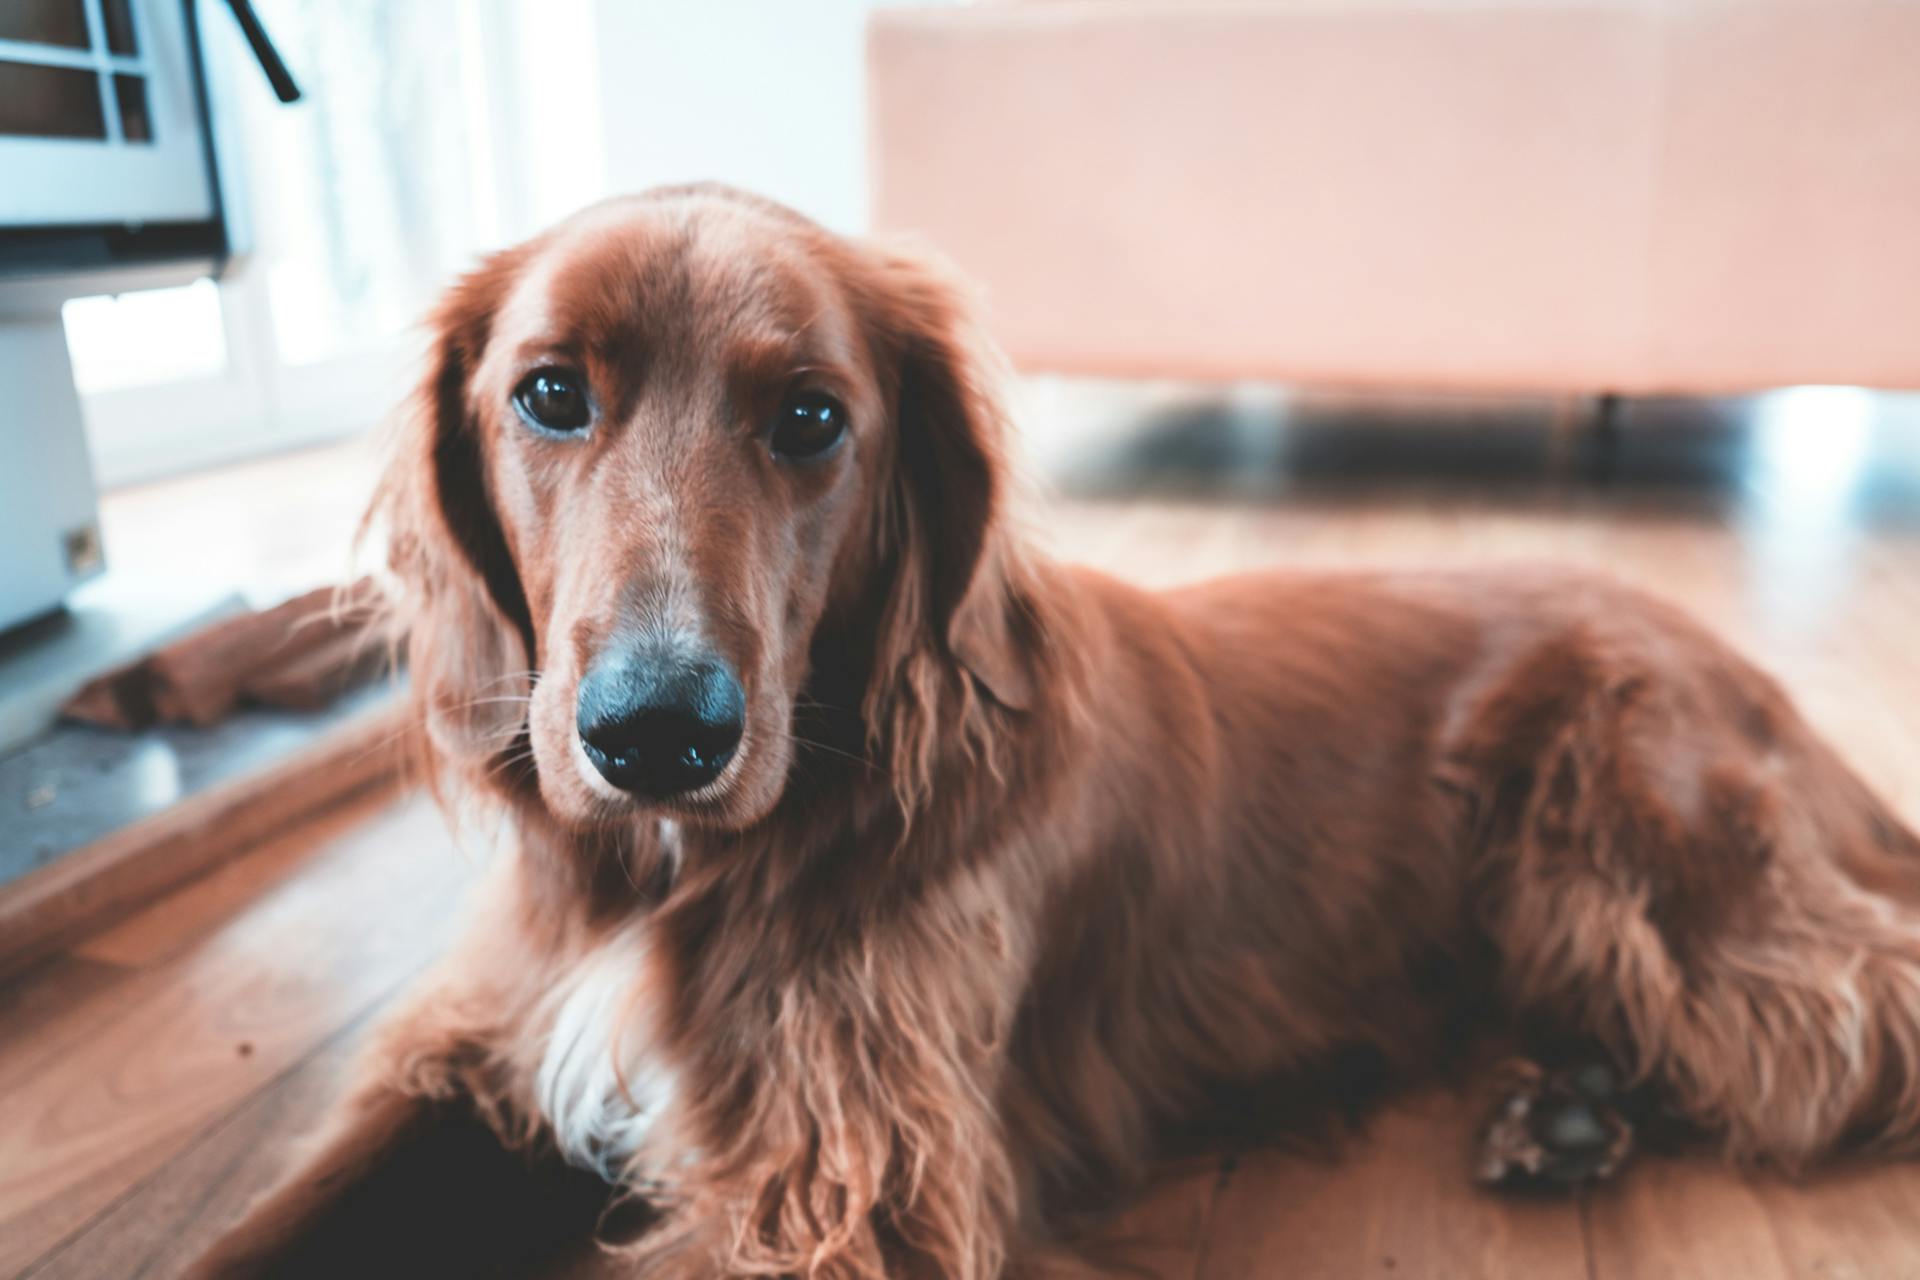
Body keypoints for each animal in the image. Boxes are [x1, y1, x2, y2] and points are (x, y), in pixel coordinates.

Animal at [183, 182, 1920, 1280]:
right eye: (550, 395)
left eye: (811, 416)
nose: (656, 734)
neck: (685, 873)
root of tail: (1725, 655)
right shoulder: (481, 1061)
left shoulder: (843, 1189)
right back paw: (1568, 1111)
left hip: (1649, 884)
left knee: (1854, 1010)